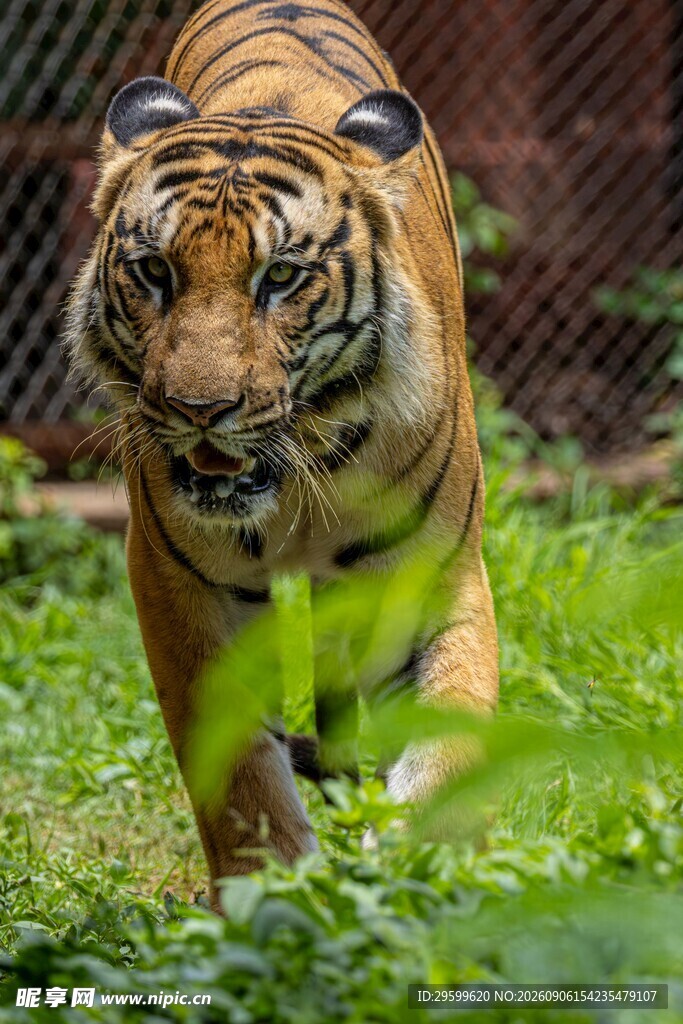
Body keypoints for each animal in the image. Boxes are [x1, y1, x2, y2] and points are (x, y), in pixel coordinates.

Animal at [67, 0, 499, 909]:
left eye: (281, 276)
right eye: (153, 271)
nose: (199, 410)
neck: (303, 473)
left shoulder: (437, 578)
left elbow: (448, 748)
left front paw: (418, 878)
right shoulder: (176, 583)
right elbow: (236, 771)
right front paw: (269, 895)